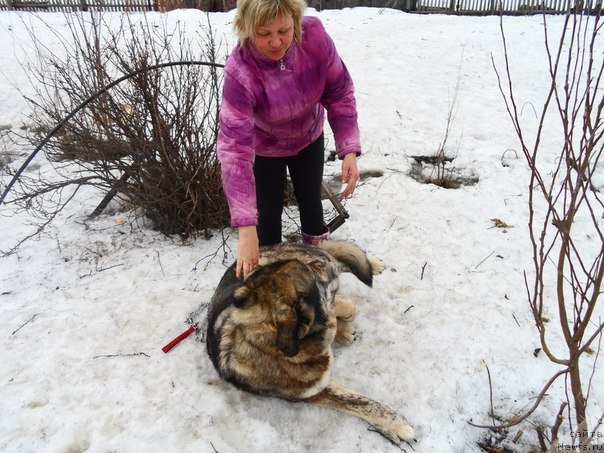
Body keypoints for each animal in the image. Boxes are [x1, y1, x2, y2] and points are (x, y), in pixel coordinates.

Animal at [205, 240, 412, 444]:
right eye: (314, 273)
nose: (324, 263)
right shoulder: (315, 389)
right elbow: (356, 401)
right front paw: (396, 425)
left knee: (335, 253)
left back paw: (370, 265)